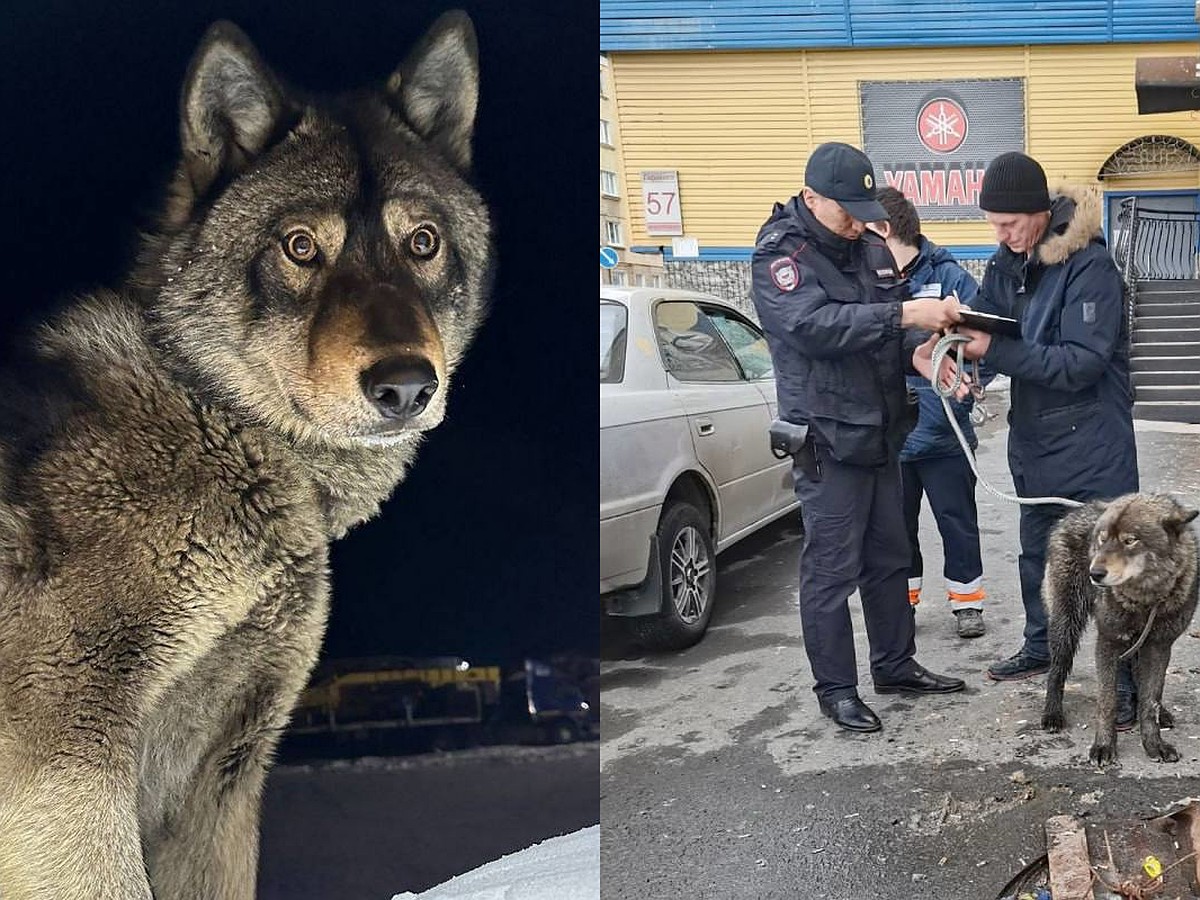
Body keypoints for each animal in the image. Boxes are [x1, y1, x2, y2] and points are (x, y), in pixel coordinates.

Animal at [0, 10, 492, 897]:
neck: (214, 418)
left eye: (423, 242)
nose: (407, 386)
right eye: (299, 247)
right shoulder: (63, 767)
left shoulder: (221, 780)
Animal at [1041, 494, 1200, 768]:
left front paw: (1154, 744)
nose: (1094, 573)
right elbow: (1107, 702)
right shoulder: (1108, 642)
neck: (1145, 598)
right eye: (1102, 540)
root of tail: (1074, 512)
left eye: (1130, 540)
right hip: (1066, 626)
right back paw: (1052, 713)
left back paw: (1162, 713)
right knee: (1057, 669)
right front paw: (1104, 746)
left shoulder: (1159, 645)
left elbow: (1150, 699)